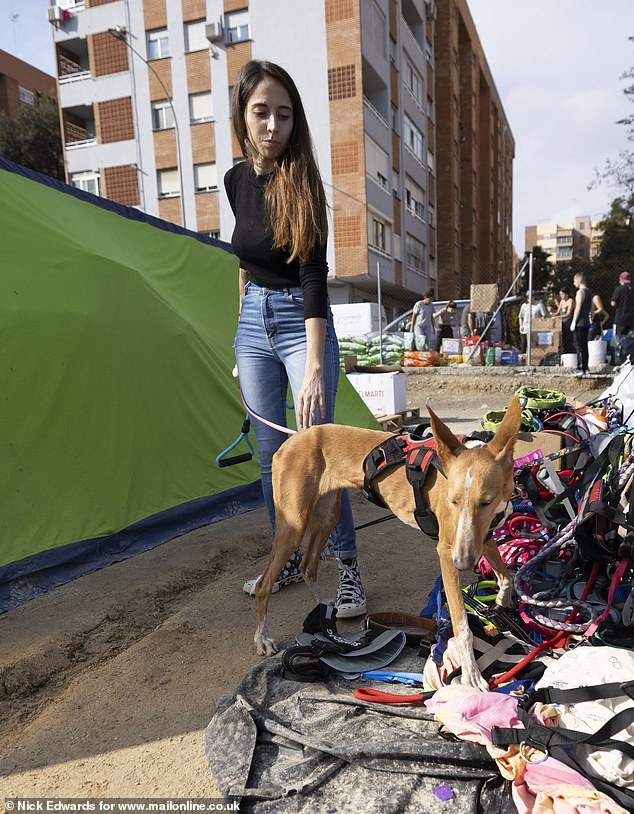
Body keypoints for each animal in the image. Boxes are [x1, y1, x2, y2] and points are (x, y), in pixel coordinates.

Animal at [252, 398, 520, 692]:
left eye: (485, 502)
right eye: (453, 500)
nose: (462, 563)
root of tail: (293, 439)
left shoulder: (483, 538)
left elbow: (508, 577)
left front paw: (502, 602)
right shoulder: (446, 551)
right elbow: (462, 626)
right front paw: (472, 676)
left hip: (327, 514)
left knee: (307, 565)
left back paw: (324, 611)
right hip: (294, 523)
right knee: (264, 584)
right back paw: (262, 638)